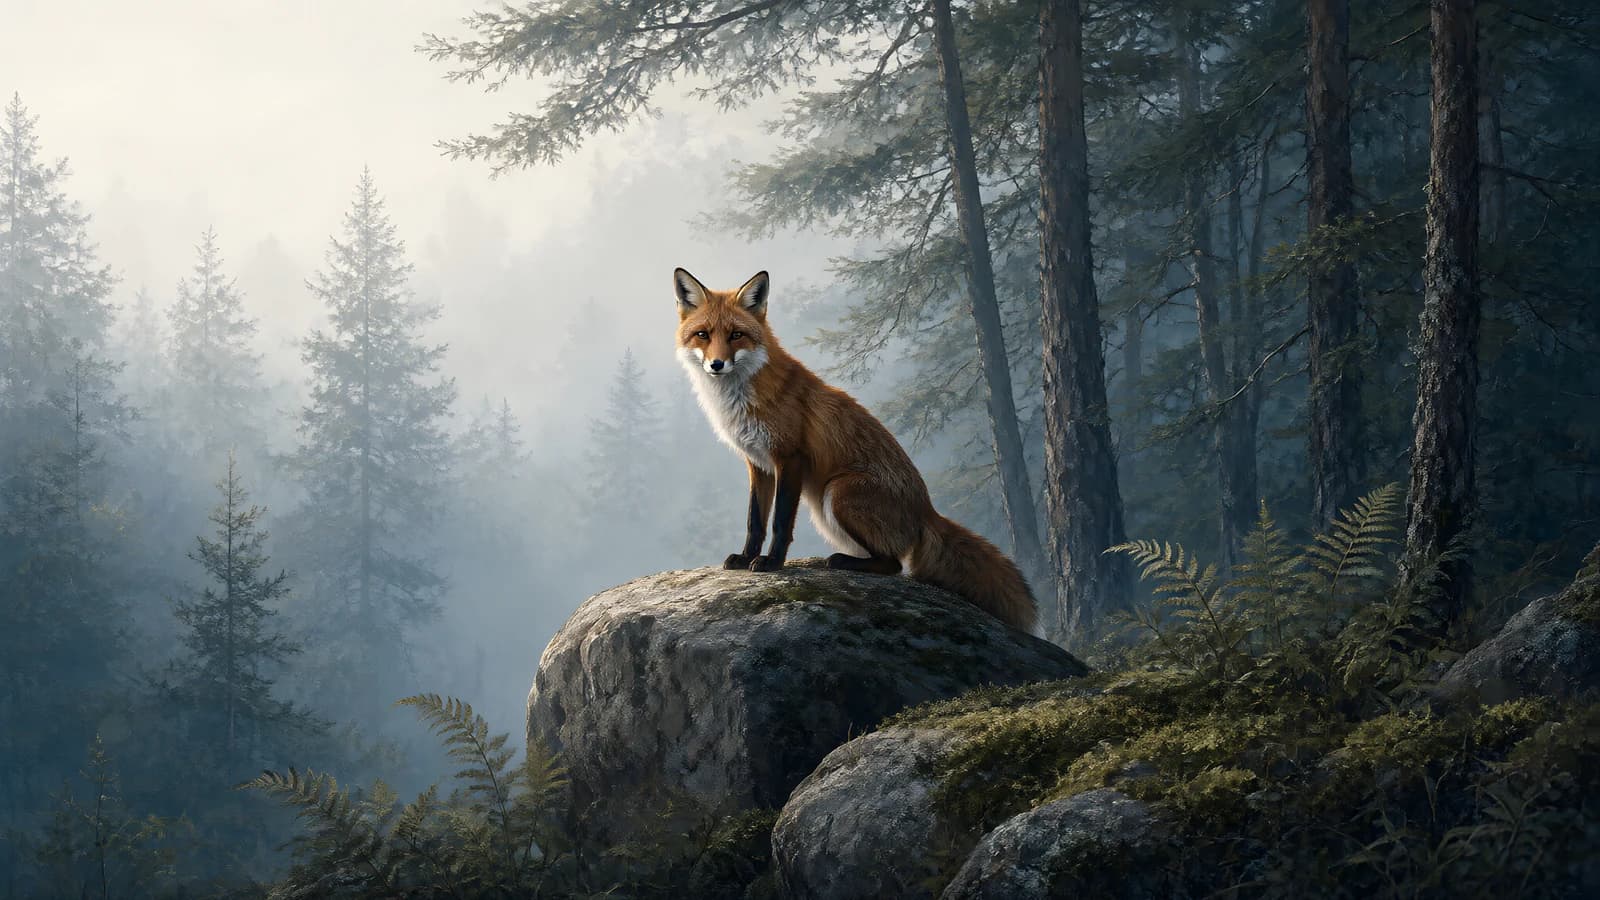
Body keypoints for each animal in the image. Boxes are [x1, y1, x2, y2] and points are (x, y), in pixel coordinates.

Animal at [672, 267, 1038, 634]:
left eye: (736, 335)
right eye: (703, 335)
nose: (717, 364)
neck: (739, 398)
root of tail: (927, 511)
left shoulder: (790, 458)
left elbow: (779, 523)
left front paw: (772, 562)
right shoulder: (758, 464)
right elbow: (755, 520)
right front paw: (746, 557)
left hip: (838, 494)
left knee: (894, 565)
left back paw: (841, 562)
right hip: (826, 510)